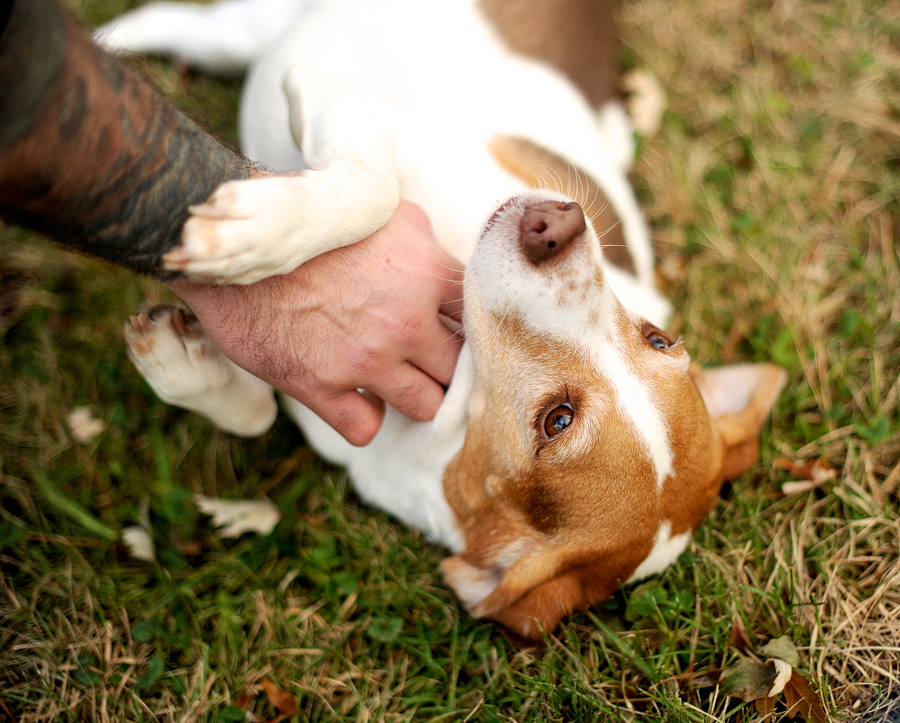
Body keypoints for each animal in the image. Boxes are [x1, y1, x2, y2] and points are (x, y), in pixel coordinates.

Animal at [100, 0, 788, 640]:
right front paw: (256, 232)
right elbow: (371, 184)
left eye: (556, 421)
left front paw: (182, 358)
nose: (557, 226)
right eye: (660, 338)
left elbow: (259, 401)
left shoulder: (326, 397)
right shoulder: (381, 128)